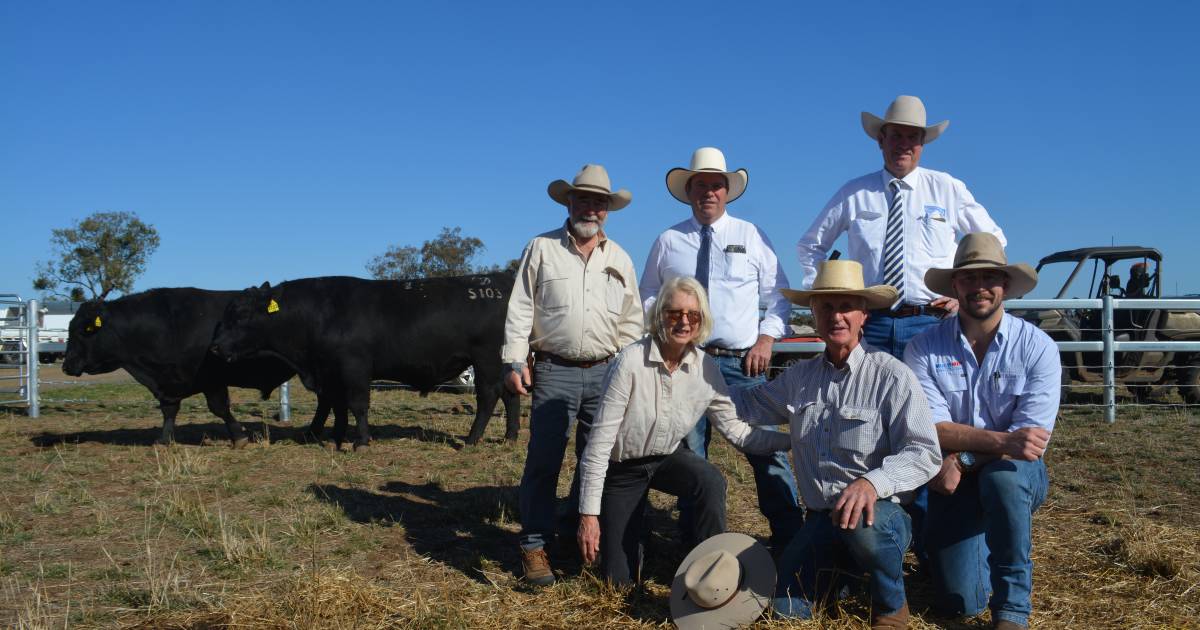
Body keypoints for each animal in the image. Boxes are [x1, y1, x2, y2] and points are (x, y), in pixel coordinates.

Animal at [213, 271, 523, 446]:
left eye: (241, 315)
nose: (215, 348)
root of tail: (499, 281)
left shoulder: (354, 368)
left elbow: (357, 405)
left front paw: (361, 442)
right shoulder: (329, 373)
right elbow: (334, 406)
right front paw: (332, 438)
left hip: (487, 360)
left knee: (489, 396)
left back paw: (471, 440)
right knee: (510, 395)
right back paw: (509, 438)